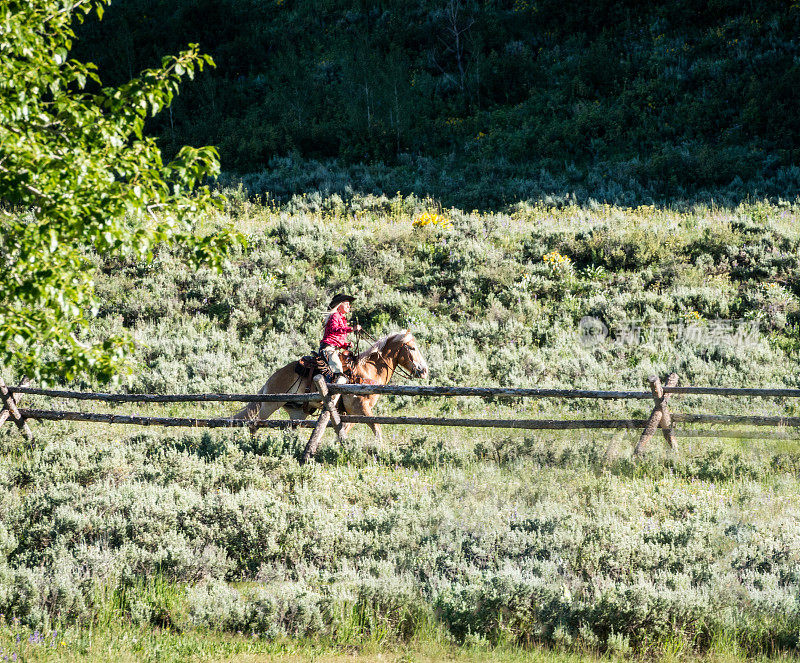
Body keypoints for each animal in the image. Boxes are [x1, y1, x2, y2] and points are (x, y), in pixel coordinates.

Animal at [231, 330, 428, 440]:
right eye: (411, 348)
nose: (424, 370)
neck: (368, 371)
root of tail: (273, 377)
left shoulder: (351, 413)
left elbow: (344, 430)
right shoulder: (360, 408)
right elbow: (377, 431)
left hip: (297, 412)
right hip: (270, 404)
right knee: (254, 423)